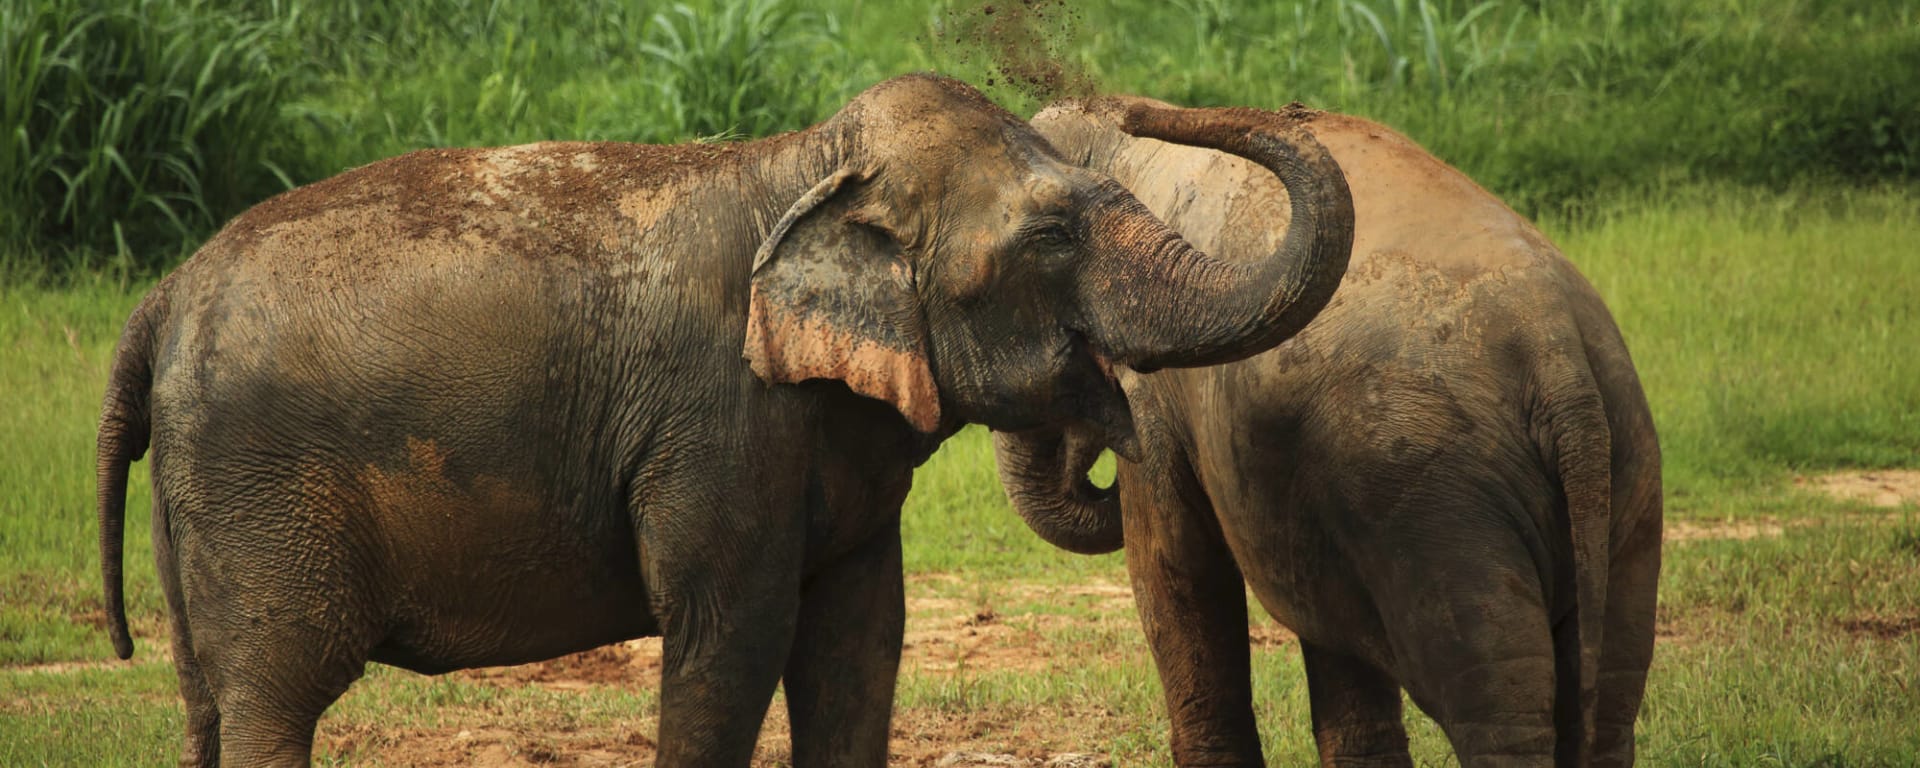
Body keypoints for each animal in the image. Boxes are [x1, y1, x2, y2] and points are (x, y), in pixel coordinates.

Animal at [92, 75, 1356, 767]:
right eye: (1051, 238)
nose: (1120, 100)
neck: (806, 166)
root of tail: (160, 299)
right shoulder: (719, 421)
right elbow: (730, 634)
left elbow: (861, 638)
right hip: (260, 485)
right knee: (278, 692)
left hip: (202, 498)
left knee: (208, 699)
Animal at [995, 97, 1661, 767]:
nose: (1138, 111)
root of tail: (1558, 361)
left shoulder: (1155, 387)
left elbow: (1175, 565)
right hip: (1626, 475)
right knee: (1607, 703)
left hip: (1437, 505)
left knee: (1494, 708)